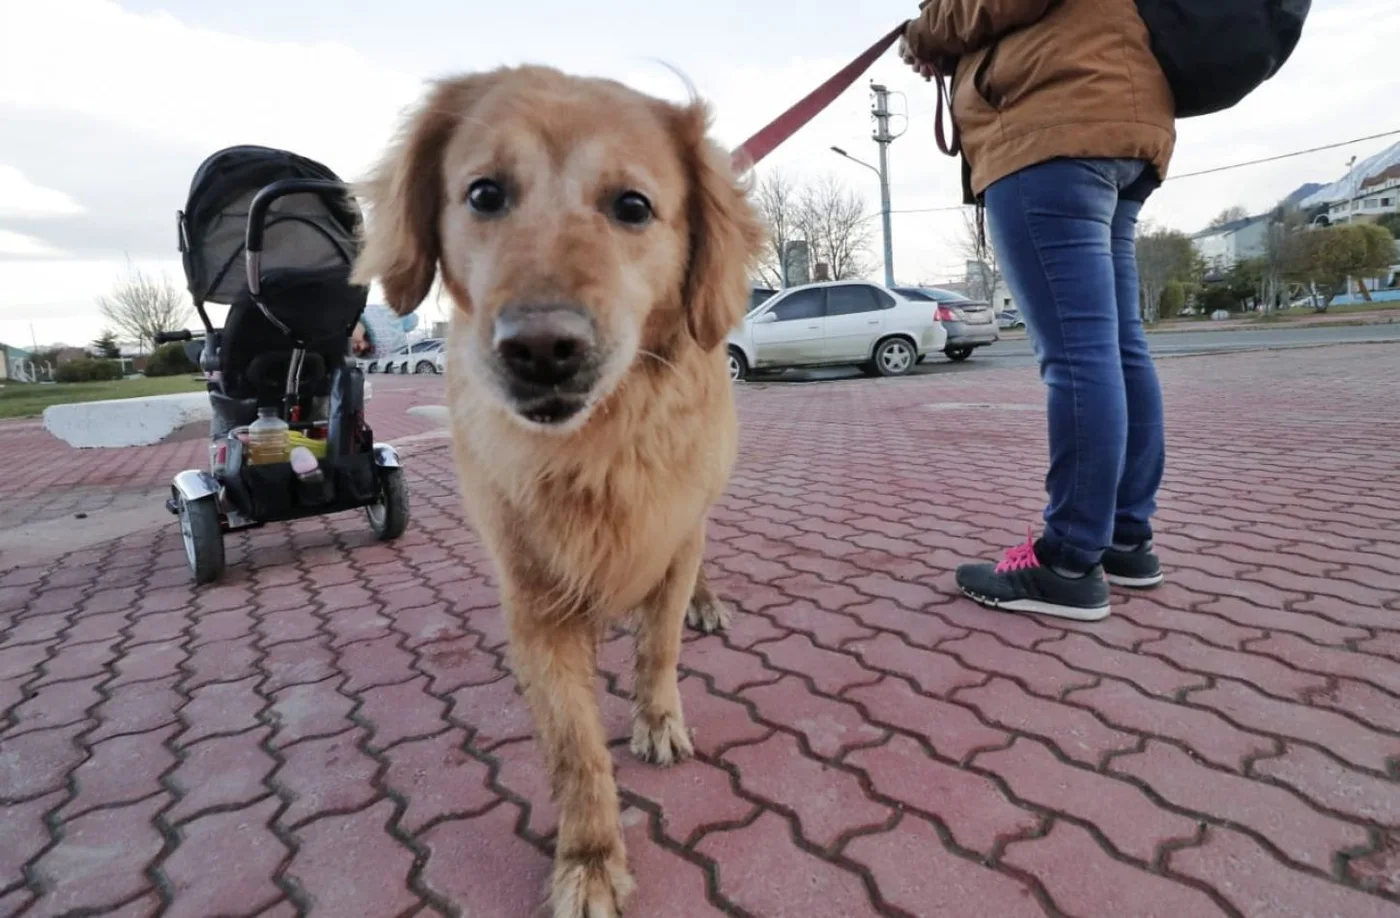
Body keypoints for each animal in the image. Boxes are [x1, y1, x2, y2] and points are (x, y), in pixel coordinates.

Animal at [350, 68, 767, 912]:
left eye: (632, 206)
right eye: (483, 194)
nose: (542, 349)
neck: (599, 446)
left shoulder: (672, 536)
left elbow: (659, 645)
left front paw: (657, 718)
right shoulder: (535, 599)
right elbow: (575, 747)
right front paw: (591, 857)